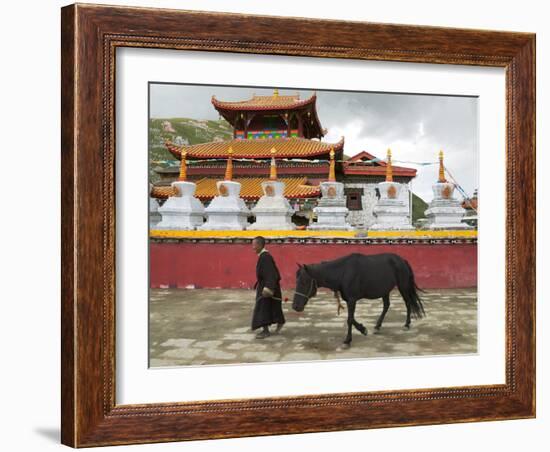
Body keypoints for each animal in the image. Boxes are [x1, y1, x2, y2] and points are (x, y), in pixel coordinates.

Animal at [294, 254, 426, 346]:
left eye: (304, 282)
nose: (295, 306)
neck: (343, 272)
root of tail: (402, 260)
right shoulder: (349, 300)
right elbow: (351, 319)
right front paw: (363, 329)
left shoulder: (352, 300)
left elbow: (349, 319)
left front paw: (348, 340)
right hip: (385, 290)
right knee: (386, 305)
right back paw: (377, 326)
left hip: (402, 286)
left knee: (408, 303)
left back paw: (406, 324)